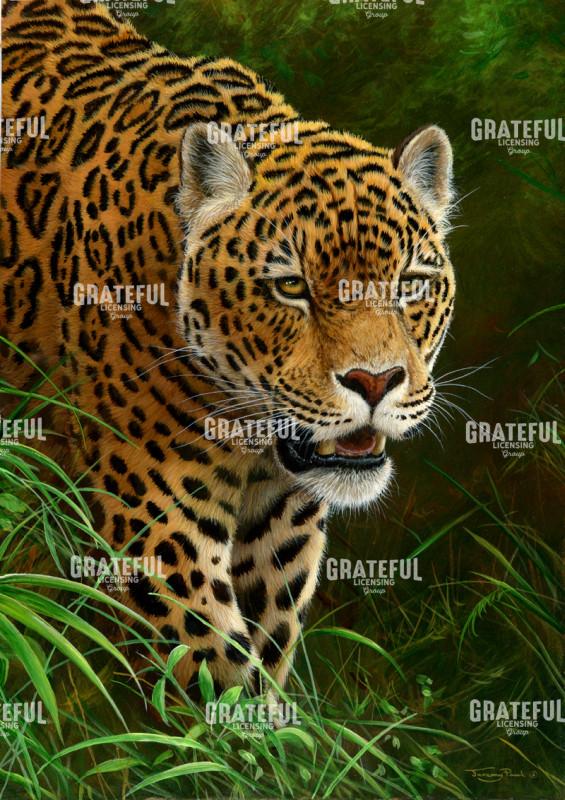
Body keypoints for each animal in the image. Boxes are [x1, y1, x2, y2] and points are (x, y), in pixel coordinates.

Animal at [0, 0, 457, 696]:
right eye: (291, 286)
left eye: (410, 284)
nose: (376, 383)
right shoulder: (156, 516)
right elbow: (215, 674)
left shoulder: (282, 526)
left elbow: (264, 652)